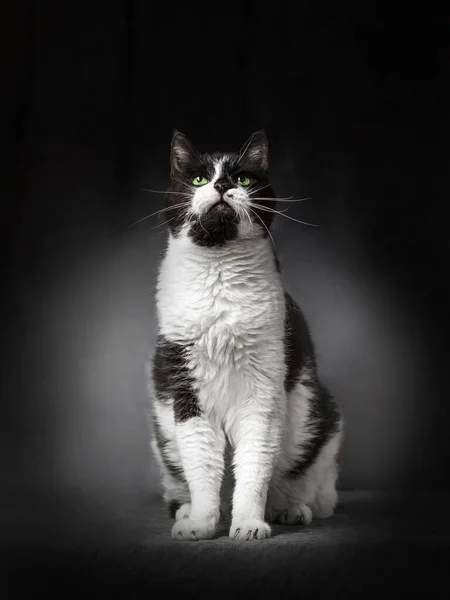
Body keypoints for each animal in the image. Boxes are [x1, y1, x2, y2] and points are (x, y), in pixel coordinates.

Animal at [148, 129, 344, 540]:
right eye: (199, 179)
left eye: (243, 179)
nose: (222, 185)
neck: (220, 271)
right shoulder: (186, 395)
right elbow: (203, 468)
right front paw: (201, 524)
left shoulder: (262, 394)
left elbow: (253, 468)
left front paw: (249, 524)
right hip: (164, 435)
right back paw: (186, 512)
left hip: (321, 421)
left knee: (303, 488)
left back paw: (290, 511)